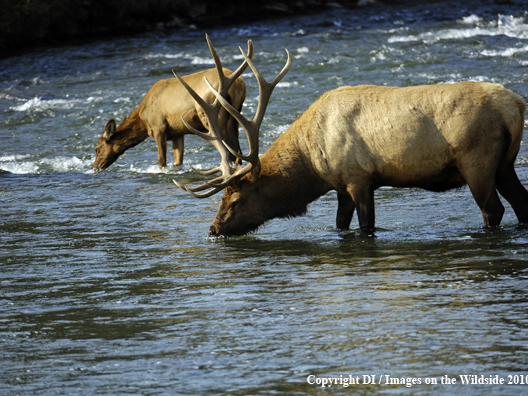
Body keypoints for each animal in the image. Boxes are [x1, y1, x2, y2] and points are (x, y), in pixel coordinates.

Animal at [93, 36, 254, 172]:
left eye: (97, 148)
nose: (95, 167)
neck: (143, 122)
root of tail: (238, 83)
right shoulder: (178, 134)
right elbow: (177, 162)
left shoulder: (159, 128)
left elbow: (161, 161)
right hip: (235, 116)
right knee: (237, 151)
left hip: (214, 117)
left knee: (230, 150)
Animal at [173, 41, 528, 237]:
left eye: (234, 200)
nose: (213, 229)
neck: (311, 162)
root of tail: (516, 105)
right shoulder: (341, 185)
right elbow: (340, 224)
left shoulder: (359, 177)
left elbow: (366, 226)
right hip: (506, 164)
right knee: (521, 204)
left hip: (477, 161)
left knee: (493, 210)